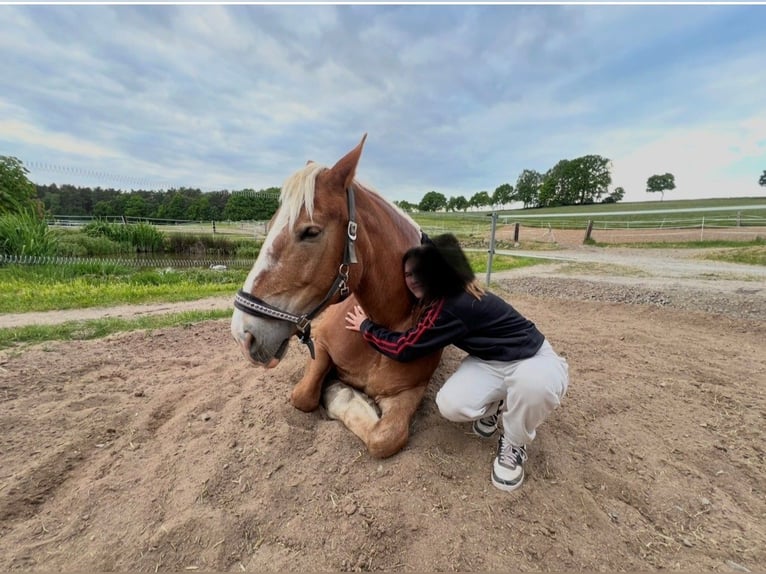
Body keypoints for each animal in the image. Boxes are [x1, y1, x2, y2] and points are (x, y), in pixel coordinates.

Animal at [230, 135, 442, 458]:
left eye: (311, 231)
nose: (243, 333)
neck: (386, 324)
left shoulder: (412, 389)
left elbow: (386, 438)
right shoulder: (322, 347)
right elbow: (303, 395)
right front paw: (337, 390)